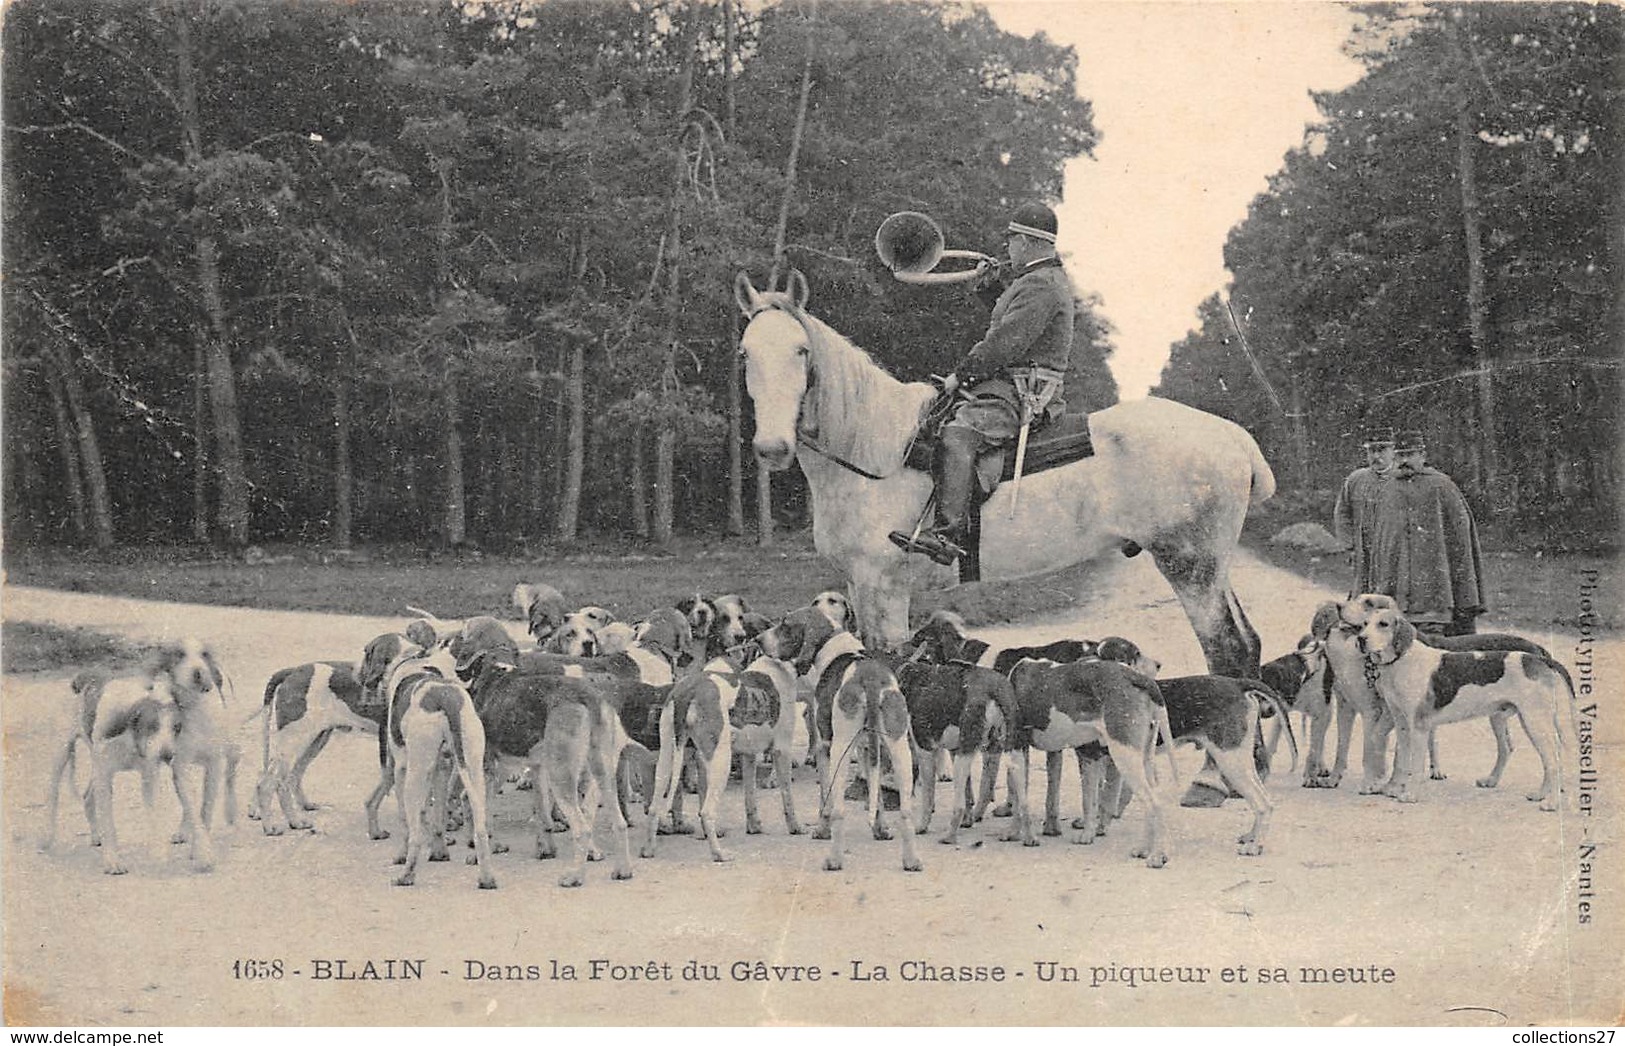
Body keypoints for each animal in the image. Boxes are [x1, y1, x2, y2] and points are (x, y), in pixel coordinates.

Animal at [731, 271, 1274, 678]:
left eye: (801, 351)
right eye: (745, 353)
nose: (772, 448)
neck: (876, 448)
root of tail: (1233, 438)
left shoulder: (884, 587)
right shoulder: (859, 585)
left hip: (1191, 568)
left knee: (1226, 650)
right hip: (1211, 568)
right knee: (1247, 644)